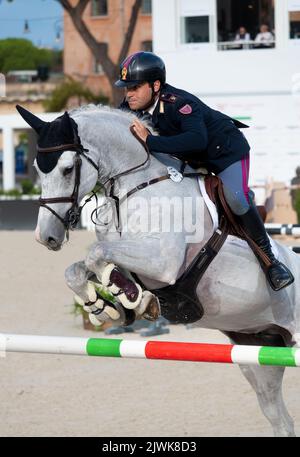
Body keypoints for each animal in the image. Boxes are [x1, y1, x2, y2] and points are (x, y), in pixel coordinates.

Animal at [17, 104, 300, 438]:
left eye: (67, 169)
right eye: (38, 170)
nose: (45, 236)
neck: (136, 186)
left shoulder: (163, 262)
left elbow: (96, 254)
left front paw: (132, 298)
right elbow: (80, 268)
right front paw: (106, 307)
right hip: (258, 352)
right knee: (280, 419)